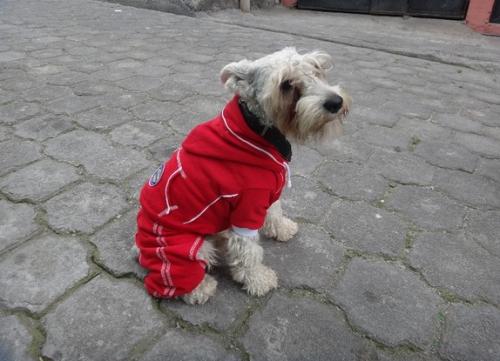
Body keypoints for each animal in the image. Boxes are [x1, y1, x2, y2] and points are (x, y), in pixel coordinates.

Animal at [134, 46, 352, 302]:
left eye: (317, 69)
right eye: (286, 84)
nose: (335, 102)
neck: (257, 132)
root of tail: (138, 246)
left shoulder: (268, 195)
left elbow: (275, 213)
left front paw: (282, 229)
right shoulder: (246, 211)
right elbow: (248, 253)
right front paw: (258, 280)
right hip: (183, 248)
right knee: (173, 279)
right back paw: (201, 287)